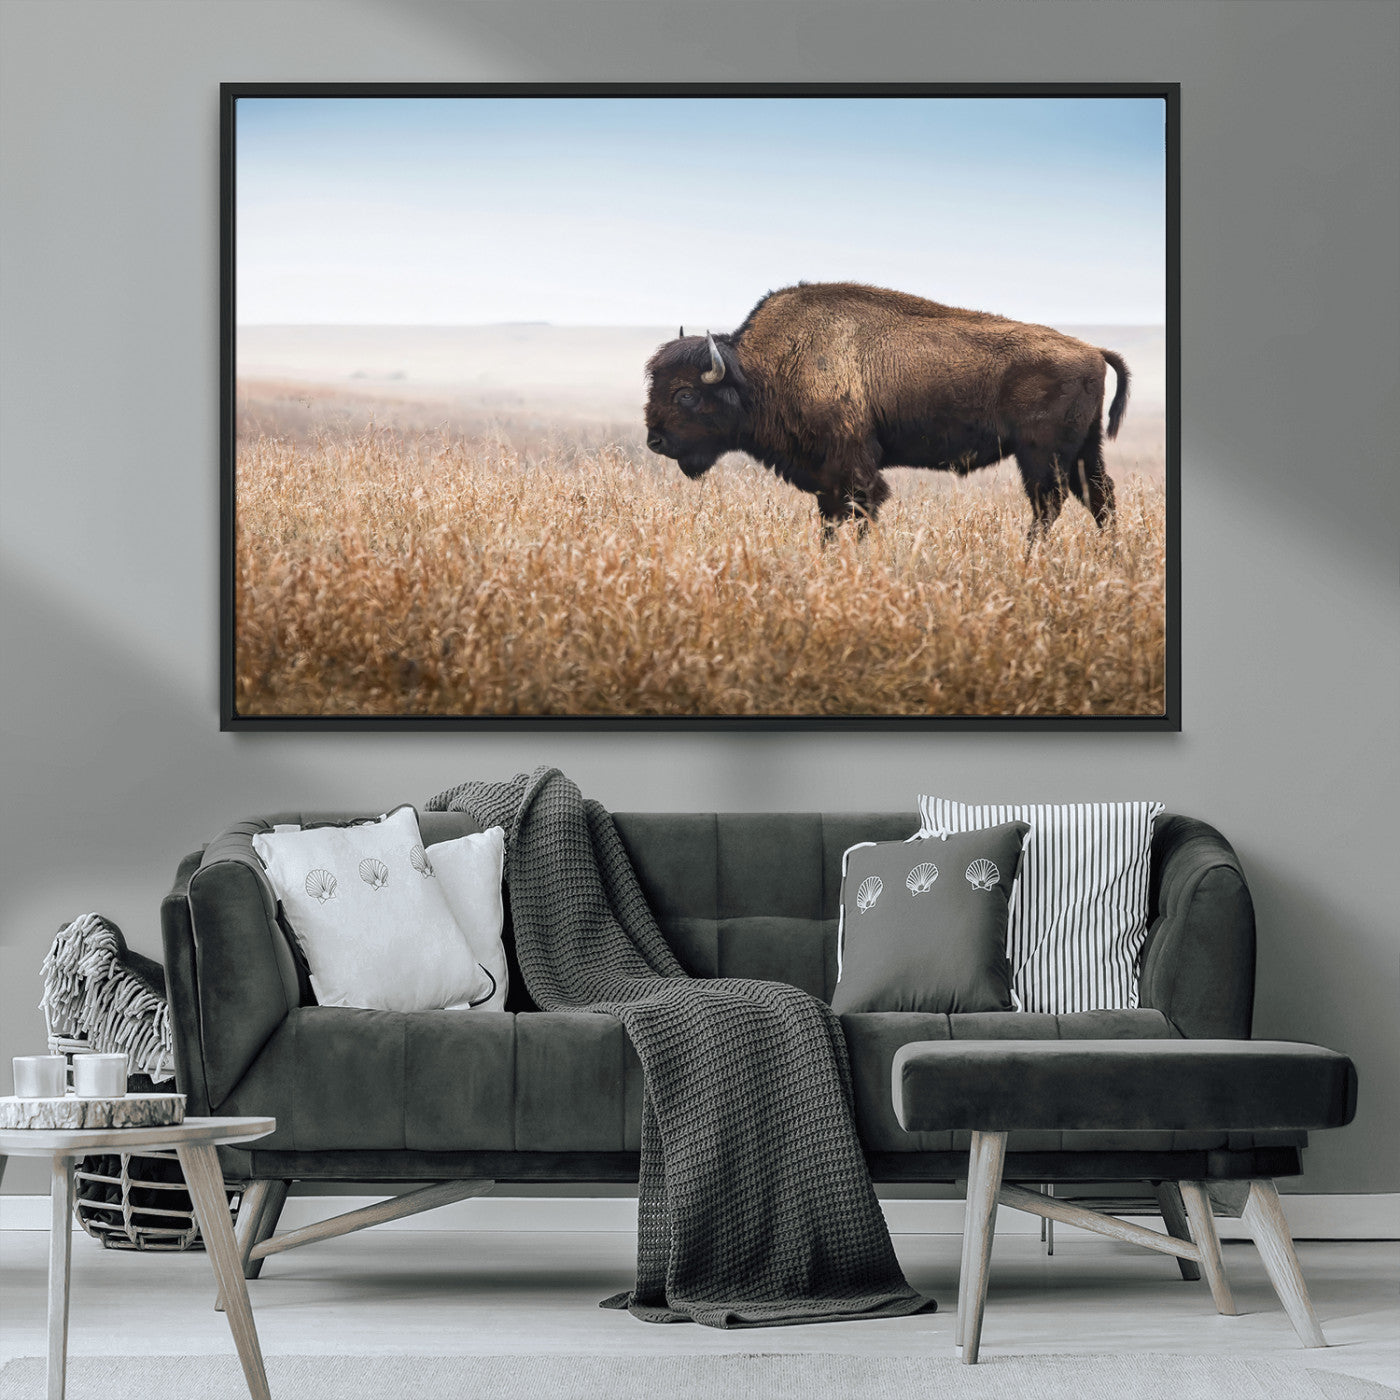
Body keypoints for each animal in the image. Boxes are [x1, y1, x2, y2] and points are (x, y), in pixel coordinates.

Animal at [644, 282, 1130, 543]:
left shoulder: (853, 467)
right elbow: (831, 518)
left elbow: (860, 510)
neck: (761, 370)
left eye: (685, 394)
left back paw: (1030, 557)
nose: (655, 441)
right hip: (1084, 450)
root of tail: (1092, 350)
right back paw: (1109, 556)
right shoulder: (826, 476)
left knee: (1050, 503)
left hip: (1041, 455)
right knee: (1099, 497)